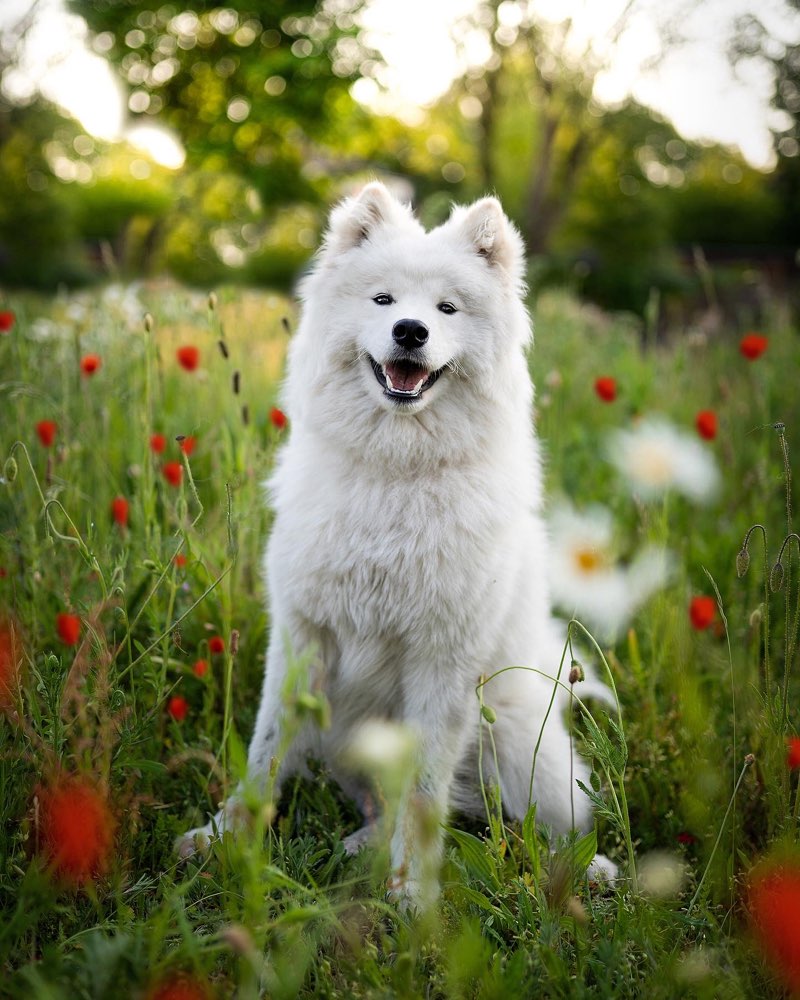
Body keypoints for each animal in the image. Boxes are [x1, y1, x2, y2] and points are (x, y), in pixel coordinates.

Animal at [178, 182, 616, 908]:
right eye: (382, 300)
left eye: (447, 309)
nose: (411, 331)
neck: (395, 471)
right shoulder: (302, 639)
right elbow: (265, 753)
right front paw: (225, 837)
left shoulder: (443, 663)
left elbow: (425, 791)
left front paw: (412, 891)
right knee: (372, 802)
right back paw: (360, 845)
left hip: (517, 744)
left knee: (551, 825)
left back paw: (592, 870)